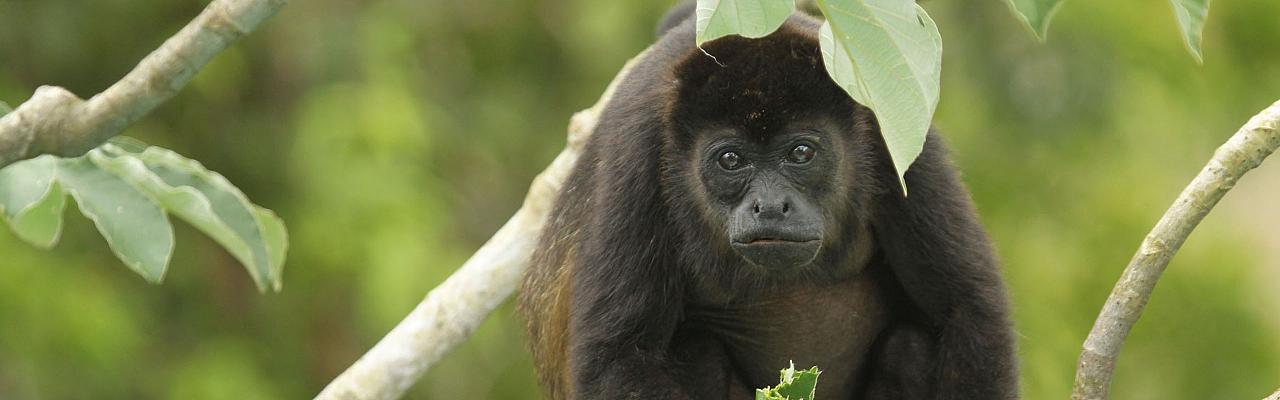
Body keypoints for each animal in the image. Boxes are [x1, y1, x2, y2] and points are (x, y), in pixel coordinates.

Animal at [514, 3, 1013, 400]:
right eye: (730, 159)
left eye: (801, 153)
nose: (771, 206)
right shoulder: (635, 153)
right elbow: (618, 356)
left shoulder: (896, 141)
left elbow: (968, 310)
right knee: (698, 351)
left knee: (910, 346)